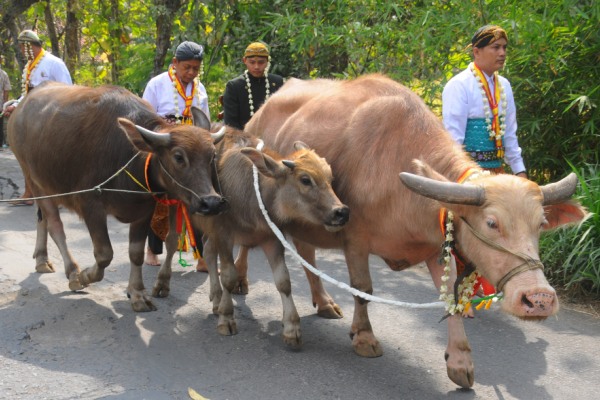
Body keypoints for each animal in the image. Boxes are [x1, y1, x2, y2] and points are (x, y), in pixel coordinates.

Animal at [7, 82, 227, 312]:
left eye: (212, 155)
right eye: (178, 157)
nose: (211, 203)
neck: (128, 159)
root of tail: (22, 106)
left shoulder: (144, 210)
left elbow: (136, 253)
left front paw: (138, 294)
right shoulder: (90, 205)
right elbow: (105, 254)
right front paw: (84, 277)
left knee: (42, 219)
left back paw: (42, 259)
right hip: (37, 182)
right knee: (55, 226)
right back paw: (72, 271)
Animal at [185, 129, 350, 346]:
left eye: (330, 178)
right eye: (305, 180)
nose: (341, 212)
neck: (251, 195)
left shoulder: (272, 239)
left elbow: (284, 281)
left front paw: (291, 327)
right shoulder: (224, 235)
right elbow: (228, 277)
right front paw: (226, 318)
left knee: (209, 250)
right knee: (209, 254)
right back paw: (216, 298)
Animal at [244, 74, 584, 388]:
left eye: (540, 224)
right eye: (492, 223)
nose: (539, 299)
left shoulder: (438, 247)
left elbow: (449, 298)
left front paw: (460, 361)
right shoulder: (355, 240)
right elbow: (363, 289)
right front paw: (364, 337)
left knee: (306, 254)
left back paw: (324, 302)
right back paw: (241, 283)